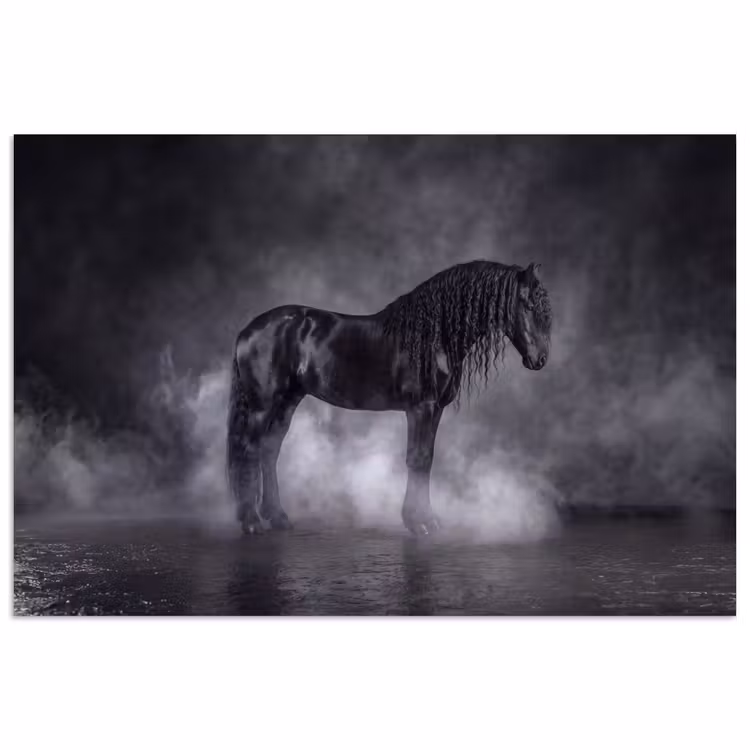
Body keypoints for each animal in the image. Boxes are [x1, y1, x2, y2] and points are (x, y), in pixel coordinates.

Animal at [227, 259, 552, 536]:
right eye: (528, 304)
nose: (540, 359)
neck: (432, 336)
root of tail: (247, 330)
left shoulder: (435, 410)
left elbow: (427, 459)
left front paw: (427, 519)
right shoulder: (421, 408)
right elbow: (417, 459)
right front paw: (418, 523)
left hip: (288, 400)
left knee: (269, 450)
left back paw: (278, 518)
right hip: (261, 406)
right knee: (249, 450)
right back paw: (251, 522)